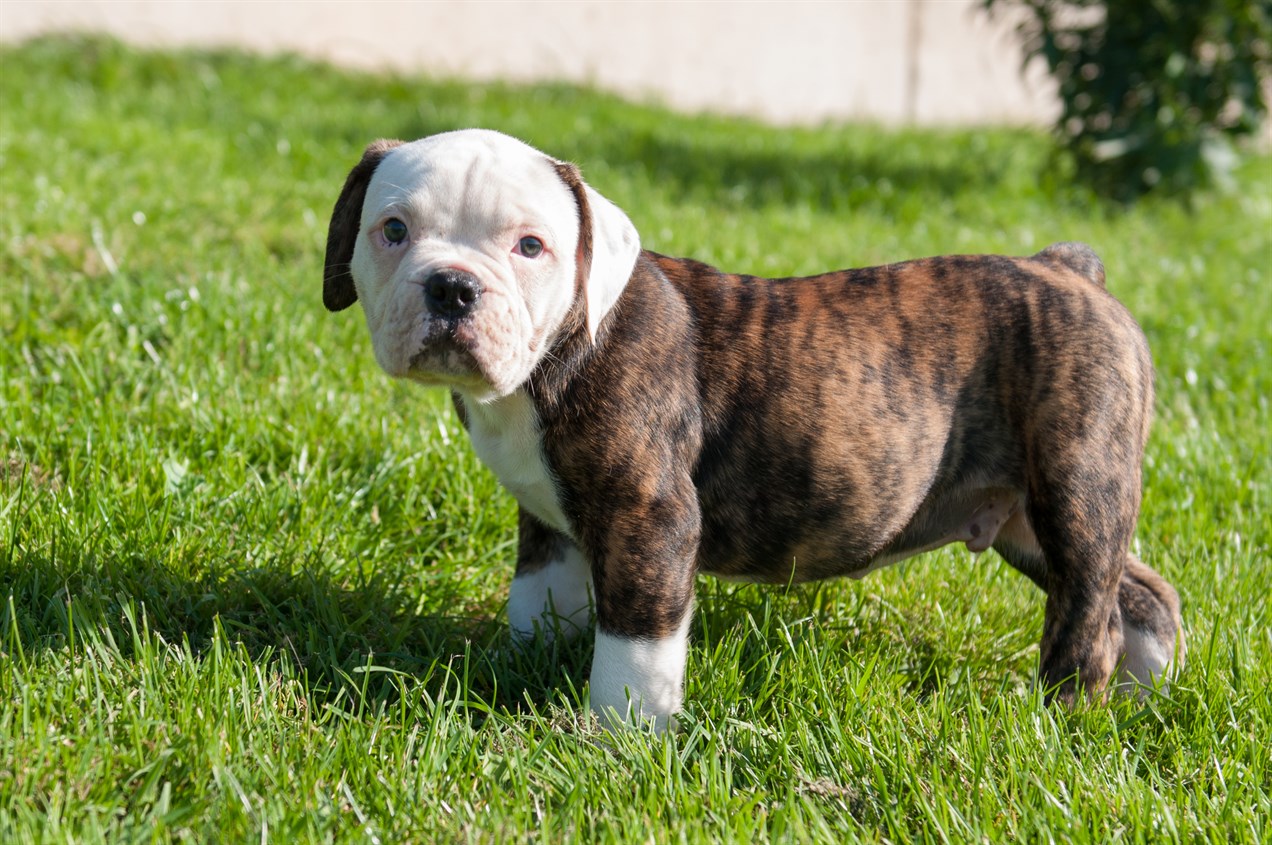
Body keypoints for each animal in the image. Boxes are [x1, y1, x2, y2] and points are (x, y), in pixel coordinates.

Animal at [325, 128, 1180, 727]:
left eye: (530, 246)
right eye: (392, 230)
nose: (452, 287)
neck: (560, 351)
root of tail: (1068, 268)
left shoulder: (649, 520)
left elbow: (636, 642)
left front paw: (618, 737)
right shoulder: (548, 519)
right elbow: (536, 598)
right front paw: (521, 664)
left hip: (1076, 482)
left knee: (1088, 614)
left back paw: (1061, 718)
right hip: (1025, 515)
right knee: (1139, 592)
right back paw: (1149, 693)